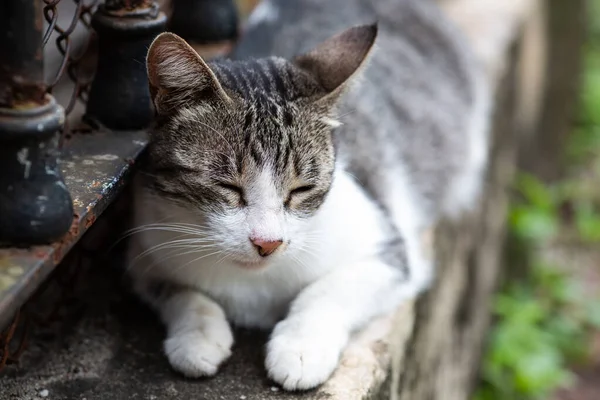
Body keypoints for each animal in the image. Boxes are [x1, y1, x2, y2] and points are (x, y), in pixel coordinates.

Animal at [126, 0, 488, 390]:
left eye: (301, 189)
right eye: (227, 186)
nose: (267, 243)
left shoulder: (388, 248)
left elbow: (330, 289)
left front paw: (300, 348)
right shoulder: (146, 245)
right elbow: (178, 291)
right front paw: (197, 336)